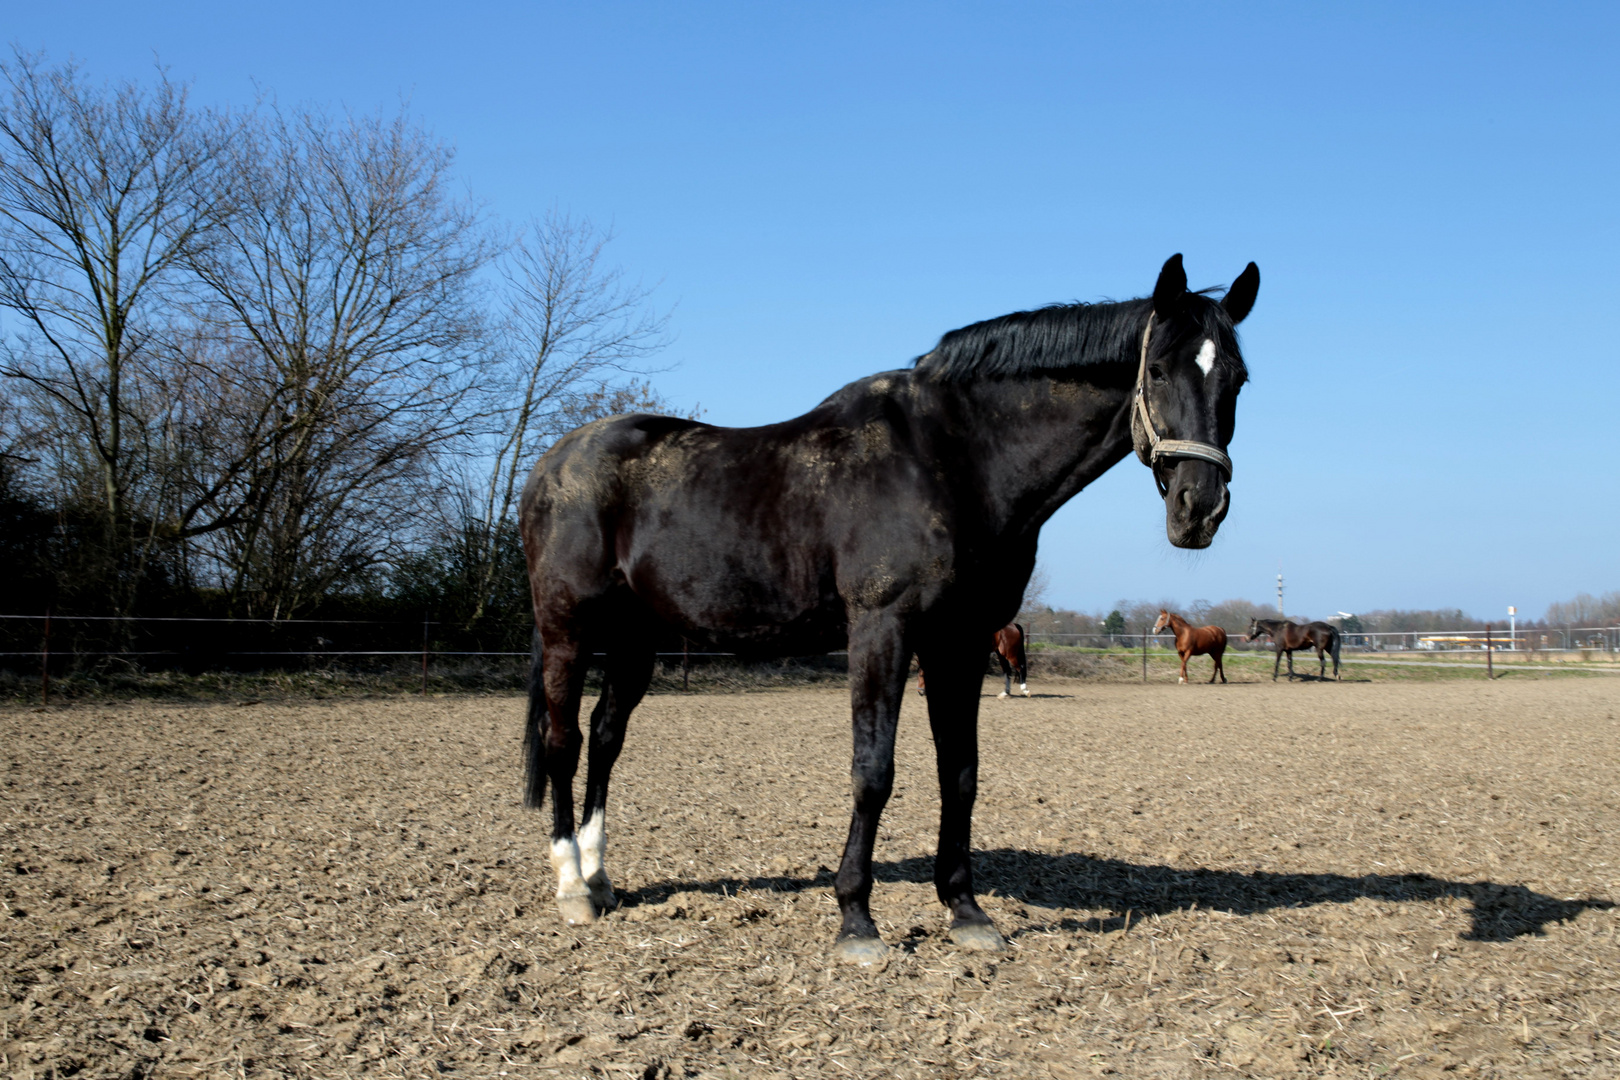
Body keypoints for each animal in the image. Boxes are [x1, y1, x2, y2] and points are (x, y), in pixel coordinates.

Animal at [515, 254, 1250, 965]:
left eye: (1238, 379)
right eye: (1156, 369)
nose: (1199, 507)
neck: (953, 458)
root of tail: (551, 463)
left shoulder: (960, 639)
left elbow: (961, 773)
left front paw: (967, 912)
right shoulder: (881, 629)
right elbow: (873, 771)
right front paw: (856, 921)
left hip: (635, 637)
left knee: (606, 738)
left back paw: (602, 879)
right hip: (567, 629)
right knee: (564, 741)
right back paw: (572, 887)